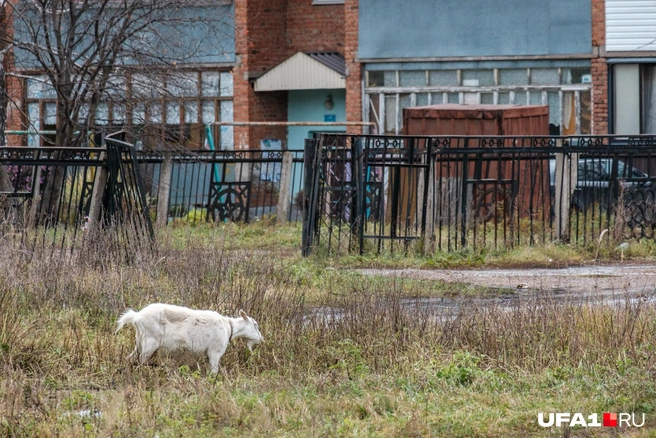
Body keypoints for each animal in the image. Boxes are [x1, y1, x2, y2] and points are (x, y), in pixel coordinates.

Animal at [116, 303, 263, 373]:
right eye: (255, 325)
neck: (229, 327)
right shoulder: (214, 352)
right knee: (141, 361)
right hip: (149, 343)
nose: (261, 339)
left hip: (139, 342)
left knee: (129, 358)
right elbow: (214, 371)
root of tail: (136, 316)